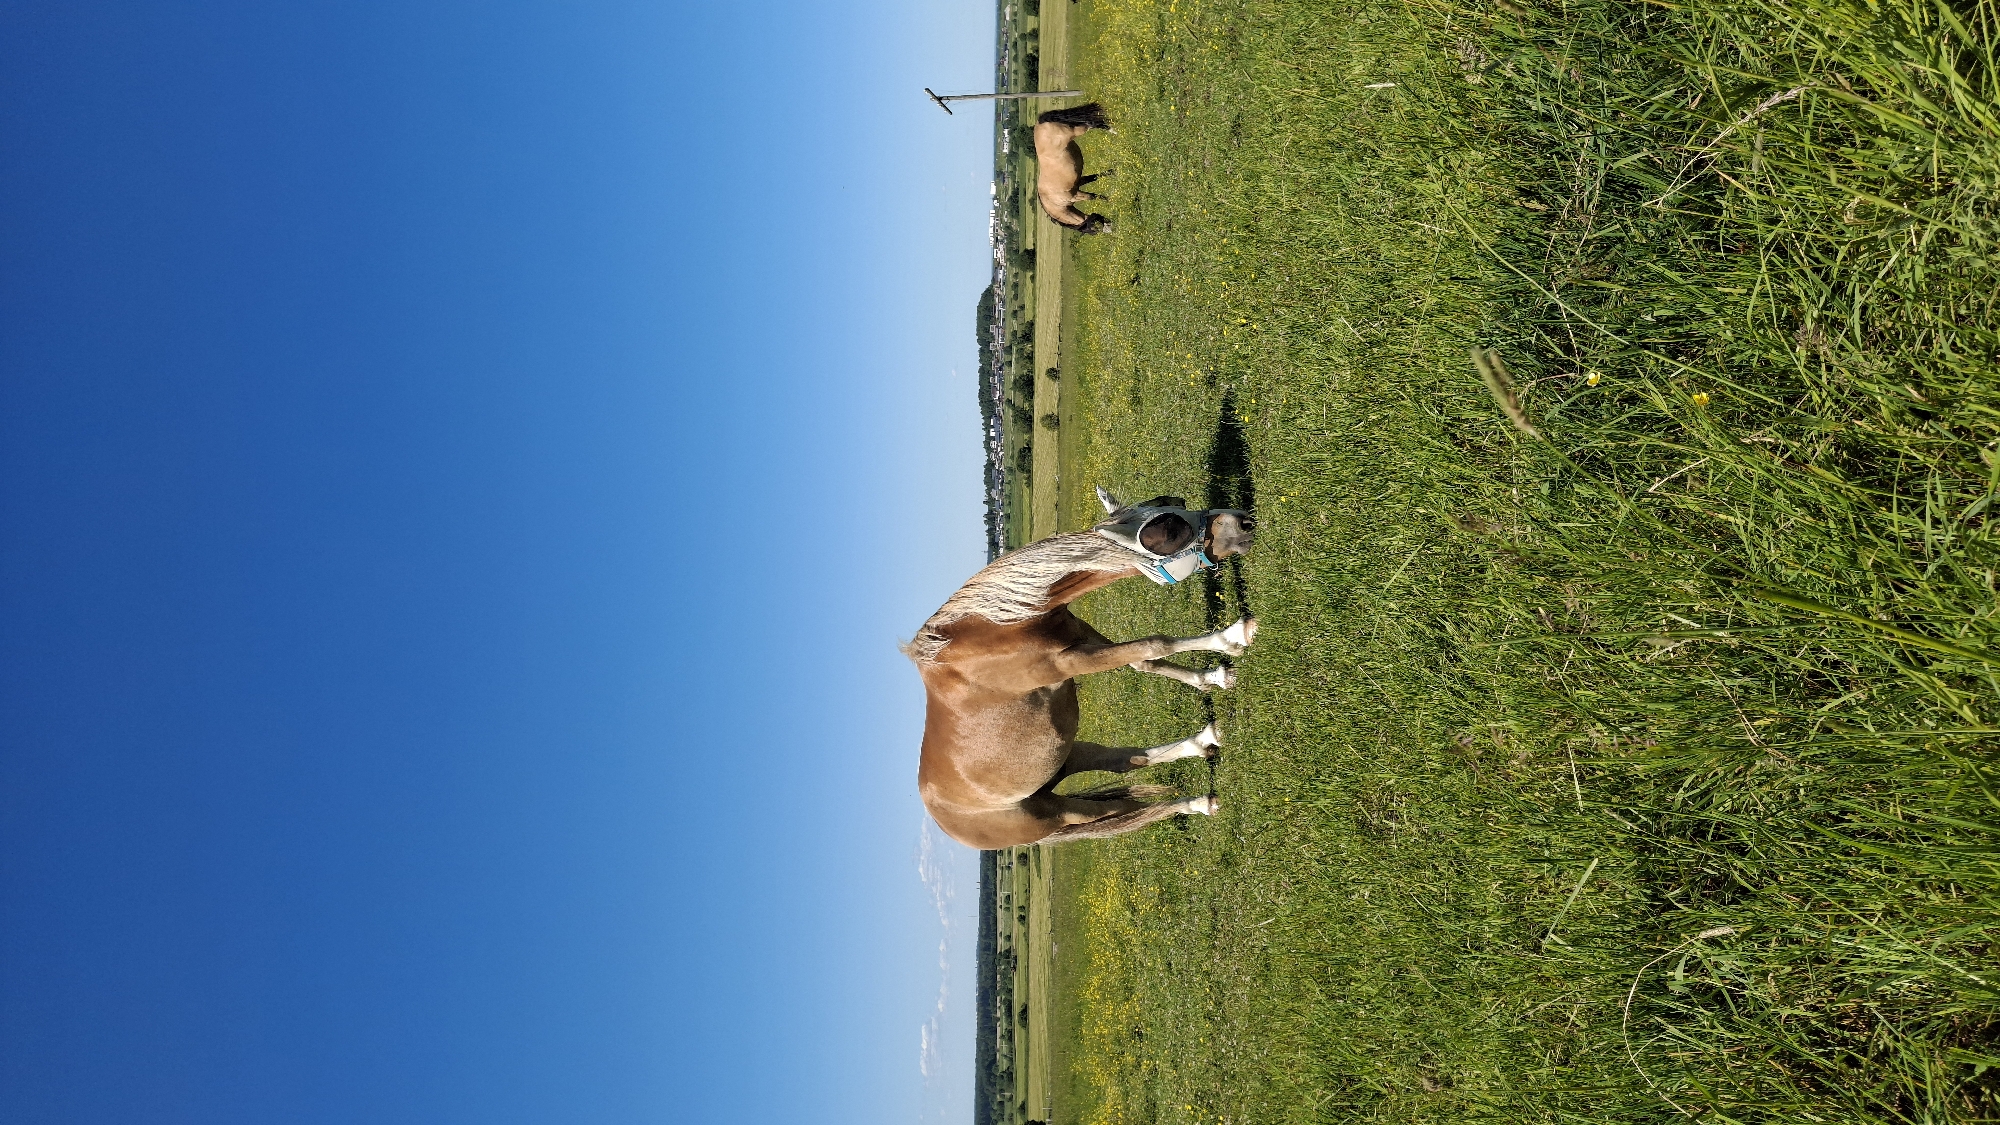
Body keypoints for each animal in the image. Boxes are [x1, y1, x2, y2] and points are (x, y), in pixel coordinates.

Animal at [905, 488, 1258, 848]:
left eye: (1173, 505)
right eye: (1168, 533)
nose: (1243, 522)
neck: (996, 627)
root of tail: (947, 821)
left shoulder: (1081, 634)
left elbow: (1144, 660)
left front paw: (1216, 669)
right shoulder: (1069, 662)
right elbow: (1155, 644)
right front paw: (1231, 638)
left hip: (1066, 758)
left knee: (1126, 761)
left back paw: (1203, 742)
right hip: (1063, 814)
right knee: (1124, 808)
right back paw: (1196, 803)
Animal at [1034, 103, 1114, 235]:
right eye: (1094, 230)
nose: (1111, 228)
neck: (1053, 202)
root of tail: (1039, 123)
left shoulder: (1076, 195)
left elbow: (1091, 196)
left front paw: (1109, 199)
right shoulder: (1078, 184)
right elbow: (1094, 179)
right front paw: (1113, 174)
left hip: (1075, 132)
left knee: (1091, 124)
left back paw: (1113, 130)